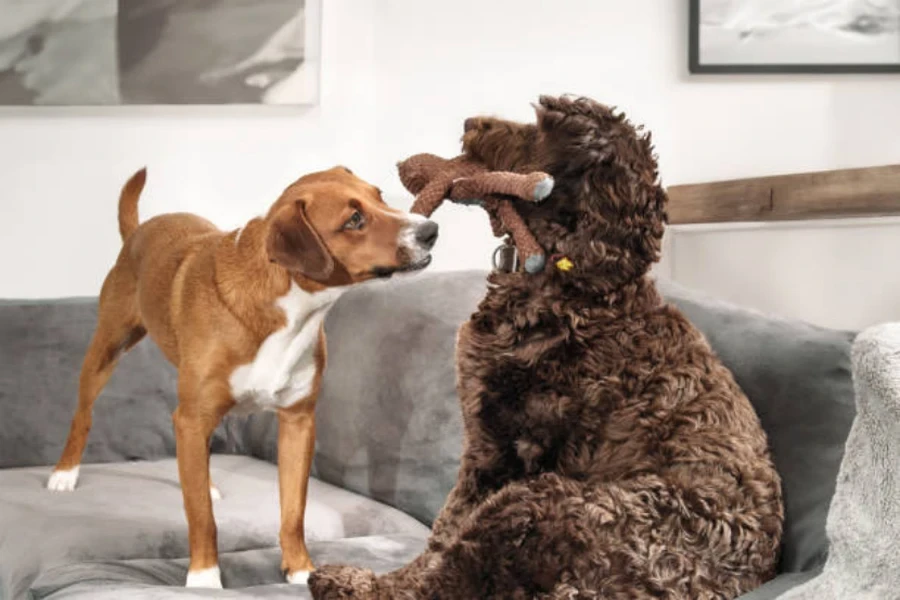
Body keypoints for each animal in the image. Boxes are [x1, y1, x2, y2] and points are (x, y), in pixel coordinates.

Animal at [46, 166, 440, 588]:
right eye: (354, 220)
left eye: (379, 196)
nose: (431, 229)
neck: (289, 307)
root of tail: (139, 231)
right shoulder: (195, 416)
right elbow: (201, 517)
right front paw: (204, 578)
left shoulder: (298, 423)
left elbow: (293, 511)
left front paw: (299, 569)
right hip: (106, 350)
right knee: (83, 416)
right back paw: (65, 474)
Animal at [308, 96, 780, 596]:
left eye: (548, 128)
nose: (471, 122)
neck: (574, 290)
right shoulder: (486, 443)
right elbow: (441, 535)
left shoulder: (505, 447)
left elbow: (447, 531)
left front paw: (390, 577)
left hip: (541, 501)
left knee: (451, 578)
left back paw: (349, 581)